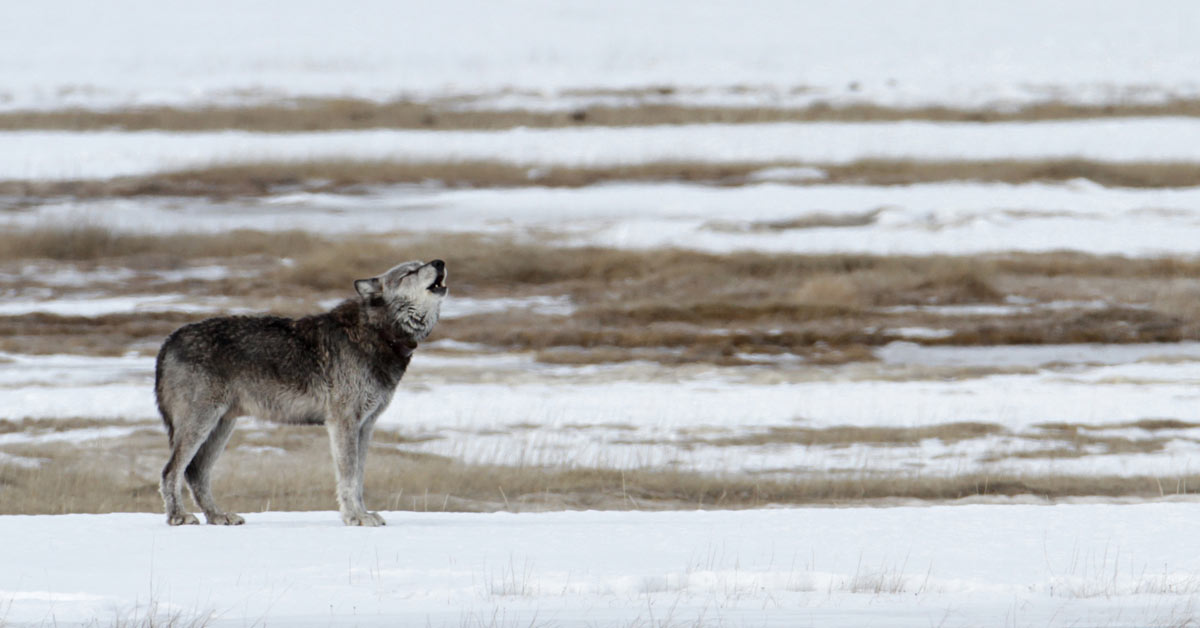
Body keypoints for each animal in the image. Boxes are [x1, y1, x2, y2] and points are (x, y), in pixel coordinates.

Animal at [155, 259, 447, 526]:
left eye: (422, 263)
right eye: (410, 271)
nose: (439, 262)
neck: (378, 332)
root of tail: (168, 340)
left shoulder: (366, 426)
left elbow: (359, 478)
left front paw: (363, 514)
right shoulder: (344, 423)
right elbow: (349, 477)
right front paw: (355, 518)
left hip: (221, 427)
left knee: (195, 473)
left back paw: (218, 516)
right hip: (201, 425)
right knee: (171, 471)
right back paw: (179, 517)